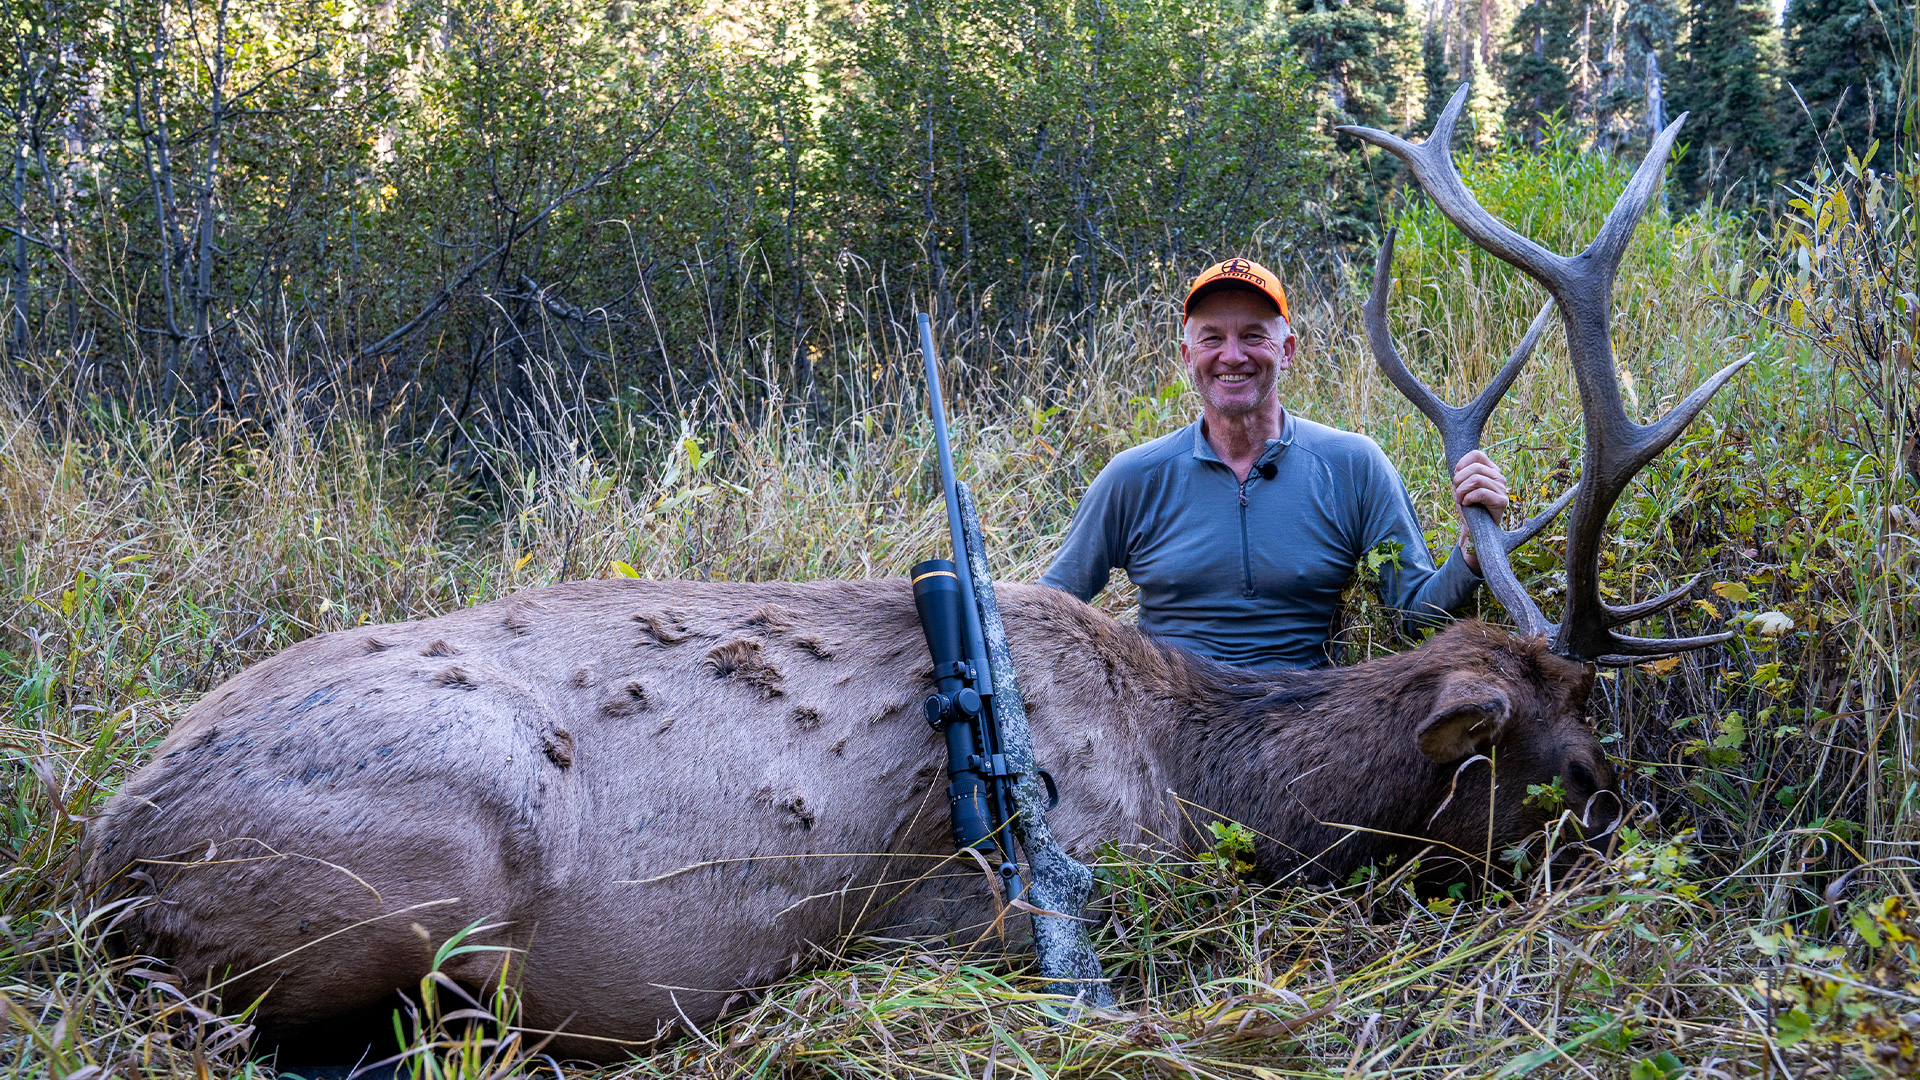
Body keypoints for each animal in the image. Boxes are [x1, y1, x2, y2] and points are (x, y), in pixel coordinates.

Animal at [80, 85, 1742, 1064]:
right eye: (1578, 767)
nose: (1667, 864)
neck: (1201, 764)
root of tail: (107, 867)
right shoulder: (1005, 908)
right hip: (429, 860)